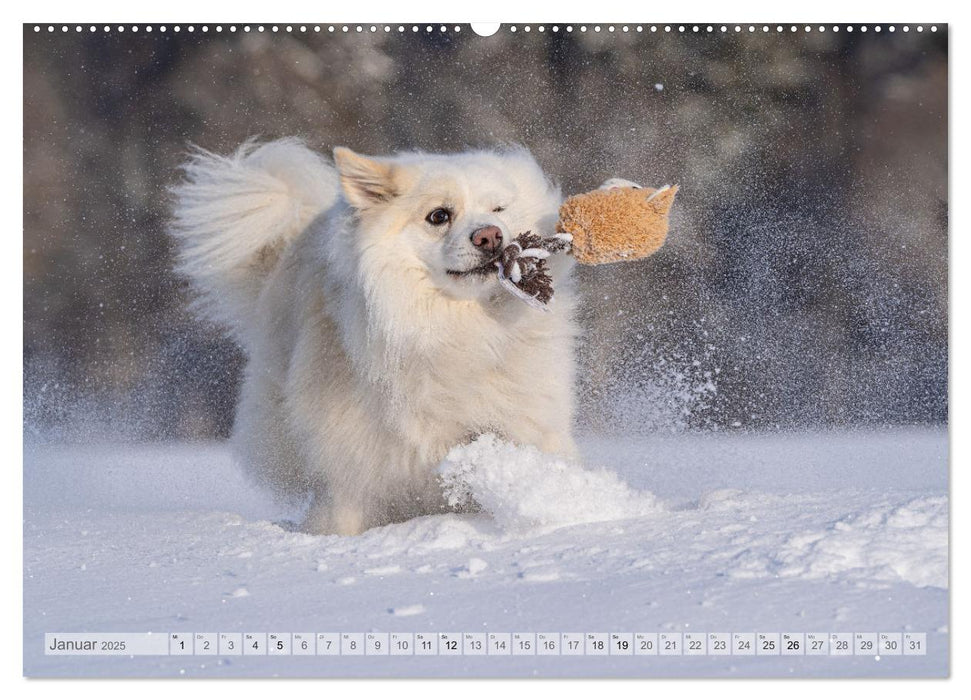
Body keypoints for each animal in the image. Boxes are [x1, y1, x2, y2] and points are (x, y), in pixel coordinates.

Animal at [170, 141, 576, 536]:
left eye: (499, 208)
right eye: (439, 216)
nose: (491, 236)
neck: (453, 328)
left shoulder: (526, 422)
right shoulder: (348, 461)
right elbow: (342, 514)